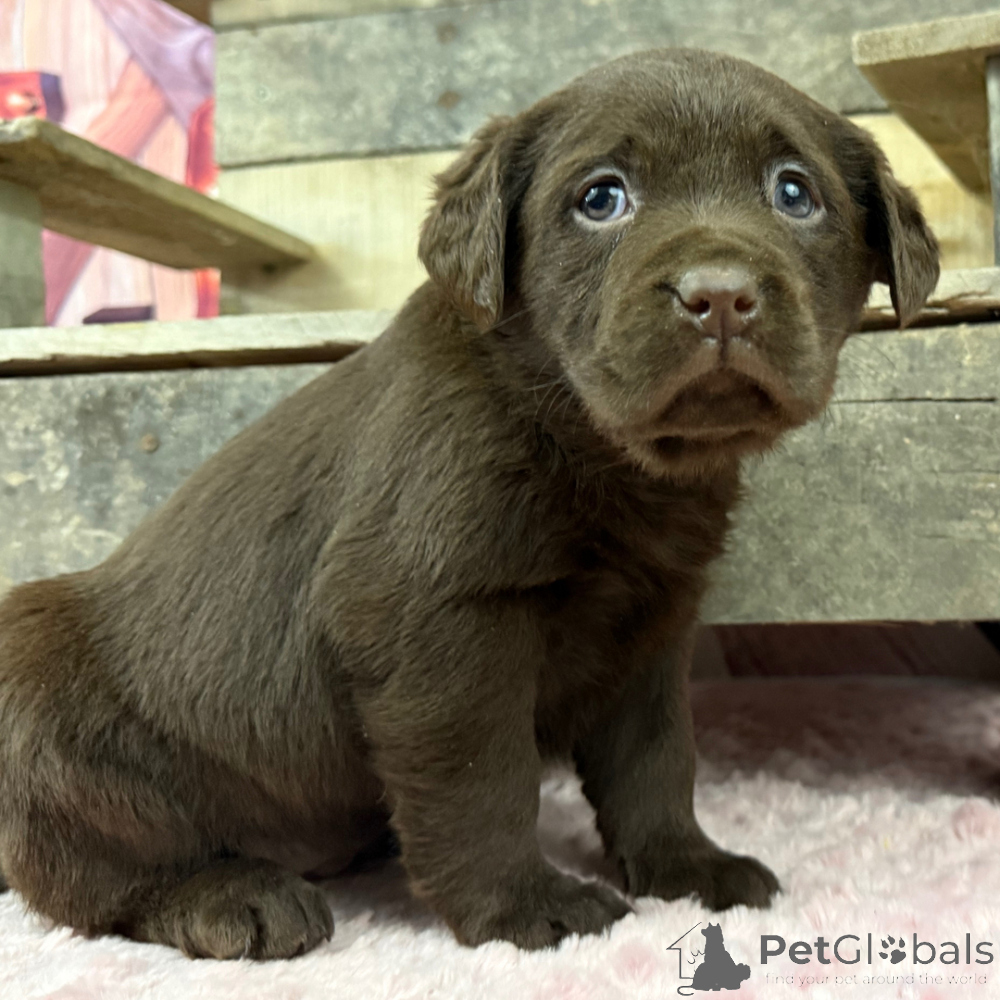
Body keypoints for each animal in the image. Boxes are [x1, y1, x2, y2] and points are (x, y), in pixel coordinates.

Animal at [0, 48, 938, 958]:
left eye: (794, 192)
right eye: (601, 198)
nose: (719, 296)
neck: (595, 446)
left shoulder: (653, 627)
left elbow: (657, 763)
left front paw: (685, 867)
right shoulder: (438, 622)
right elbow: (483, 782)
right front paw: (523, 906)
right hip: (39, 685)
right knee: (84, 879)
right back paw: (234, 897)